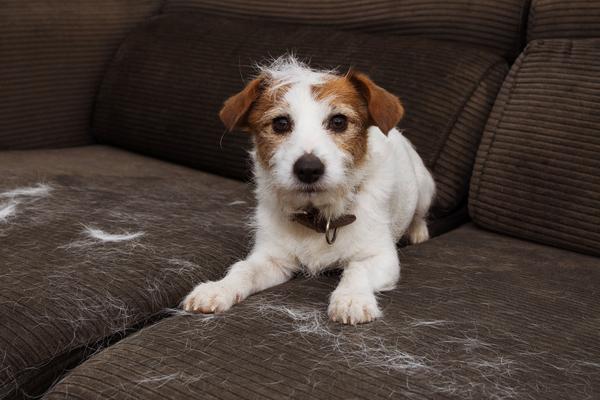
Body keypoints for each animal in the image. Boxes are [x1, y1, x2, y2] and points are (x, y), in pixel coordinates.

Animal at [180, 56, 434, 324]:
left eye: (339, 121)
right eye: (281, 123)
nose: (309, 169)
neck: (319, 218)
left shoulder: (380, 257)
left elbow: (358, 269)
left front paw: (351, 298)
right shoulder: (272, 259)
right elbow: (243, 269)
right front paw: (218, 288)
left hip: (425, 187)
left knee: (419, 214)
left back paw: (418, 232)